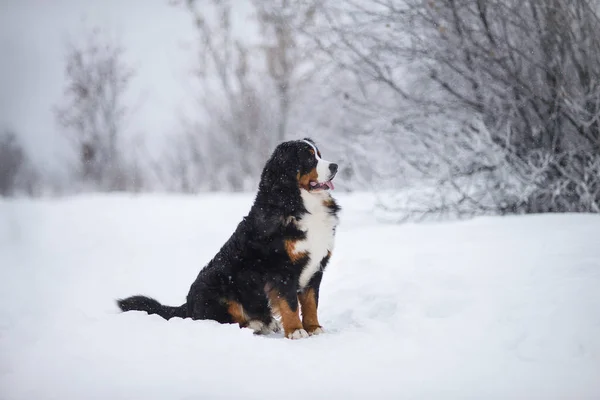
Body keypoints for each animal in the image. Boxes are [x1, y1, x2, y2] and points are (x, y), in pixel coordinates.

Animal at [119, 138, 340, 338]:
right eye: (309, 157)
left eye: (319, 154)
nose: (335, 166)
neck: (300, 203)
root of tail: (187, 305)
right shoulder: (283, 268)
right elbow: (290, 304)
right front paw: (296, 331)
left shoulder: (316, 267)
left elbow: (311, 302)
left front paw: (313, 327)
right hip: (217, 284)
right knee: (225, 320)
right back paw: (257, 324)